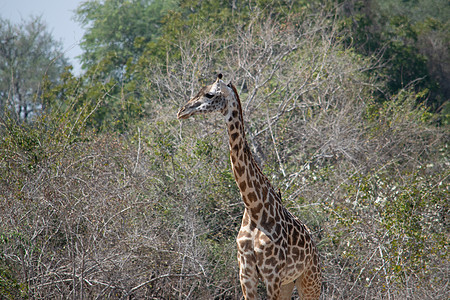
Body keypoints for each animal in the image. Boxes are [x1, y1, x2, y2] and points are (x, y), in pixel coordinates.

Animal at [178, 74, 322, 298]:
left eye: (209, 94)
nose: (182, 111)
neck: (254, 208)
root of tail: (314, 245)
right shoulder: (246, 274)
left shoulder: (271, 275)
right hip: (289, 283)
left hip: (309, 279)